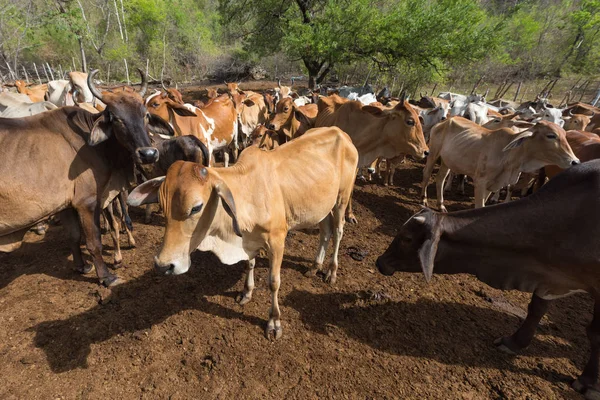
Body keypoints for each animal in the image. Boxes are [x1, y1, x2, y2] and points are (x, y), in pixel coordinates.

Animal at [128, 126, 358, 340]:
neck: (248, 193)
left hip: (342, 198)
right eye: (162, 205)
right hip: (322, 206)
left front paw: (274, 322)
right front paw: (246, 292)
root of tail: (341, 132)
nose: (163, 265)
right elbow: (250, 264)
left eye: (196, 207)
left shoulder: (277, 241)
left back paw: (331, 271)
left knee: (338, 232)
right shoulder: (249, 241)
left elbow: (274, 282)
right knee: (325, 232)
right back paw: (315, 266)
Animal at [378, 159, 600, 400]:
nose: (380, 262)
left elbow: (594, 333)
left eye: (407, 238)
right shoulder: (549, 277)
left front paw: (588, 383)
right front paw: (514, 342)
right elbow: (535, 309)